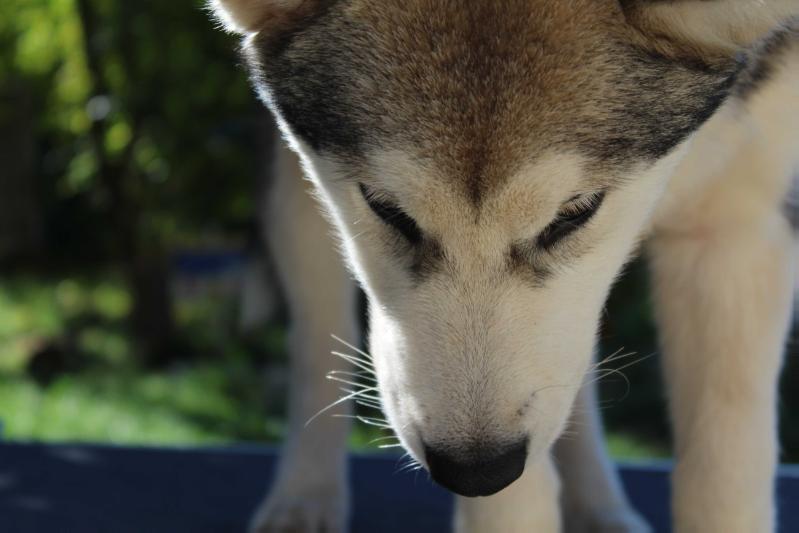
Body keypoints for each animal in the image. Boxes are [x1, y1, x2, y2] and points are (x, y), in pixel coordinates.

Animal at [208, 2, 799, 528]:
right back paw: (303, 499)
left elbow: (724, 475)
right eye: (387, 208)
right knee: (315, 341)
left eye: (574, 213)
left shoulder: (737, 233)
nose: (475, 471)